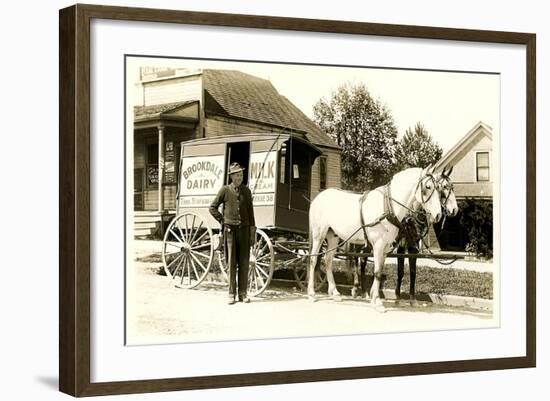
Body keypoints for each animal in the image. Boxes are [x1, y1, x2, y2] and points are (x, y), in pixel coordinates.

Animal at [310, 164, 444, 310]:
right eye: (428, 187)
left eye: (438, 188)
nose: (438, 215)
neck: (388, 206)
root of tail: (319, 197)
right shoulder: (378, 245)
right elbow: (377, 272)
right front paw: (378, 302)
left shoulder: (385, 247)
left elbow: (379, 270)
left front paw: (374, 298)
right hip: (319, 235)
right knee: (313, 259)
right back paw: (311, 293)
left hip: (333, 236)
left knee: (328, 260)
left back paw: (335, 293)